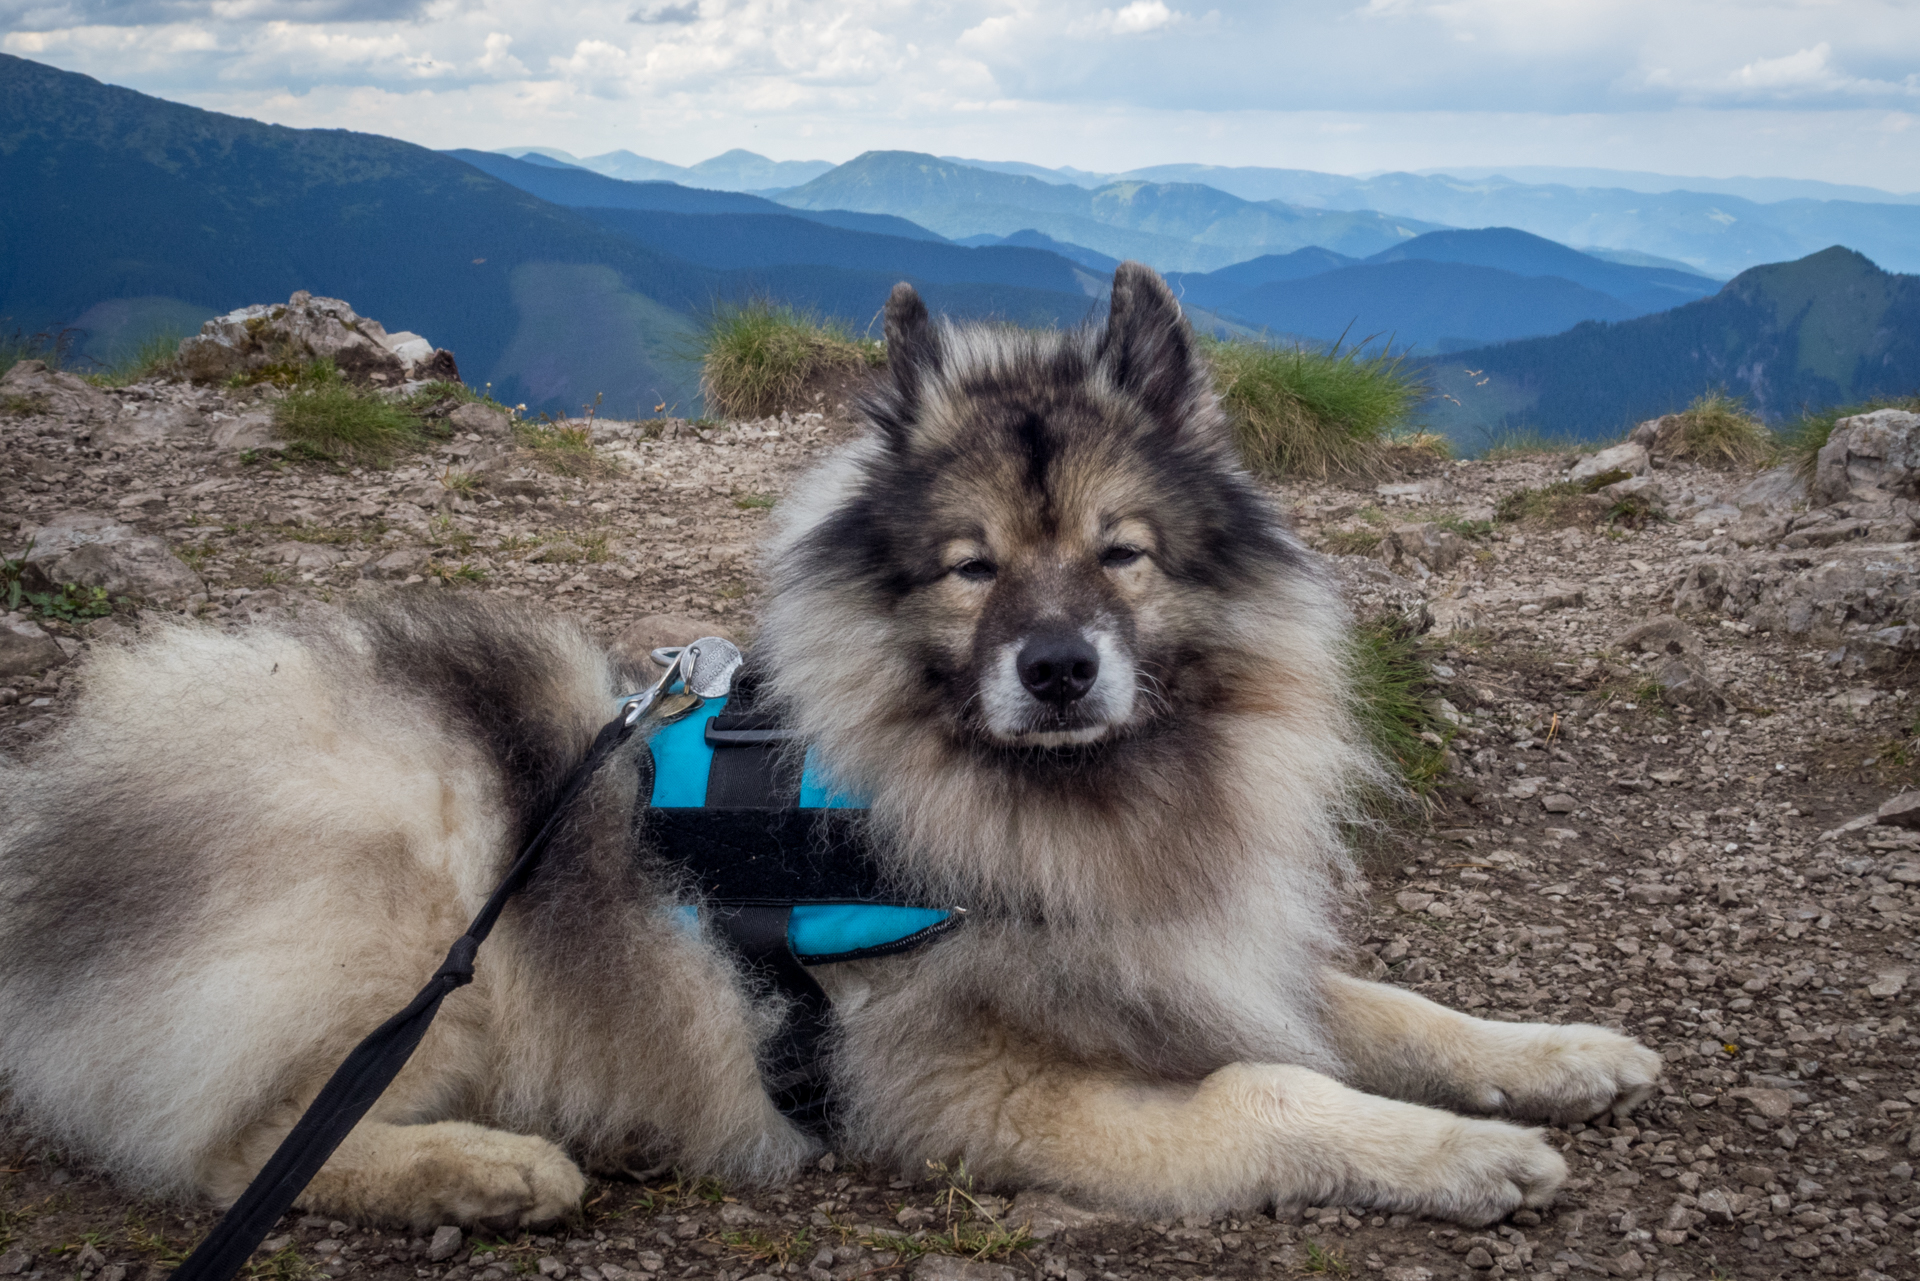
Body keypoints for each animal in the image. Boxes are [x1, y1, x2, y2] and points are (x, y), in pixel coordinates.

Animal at [0, 265, 1658, 1236]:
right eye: (971, 568)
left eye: (1121, 552)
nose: (1060, 669)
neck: (1053, 806)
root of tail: (63, 833)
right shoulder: (958, 1089)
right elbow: (1270, 1093)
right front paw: (1457, 1157)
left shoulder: (1197, 949)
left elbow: (1382, 1006)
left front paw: (1557, 1057)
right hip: (425, 922)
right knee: (233, 1149)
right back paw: (487, 1171)